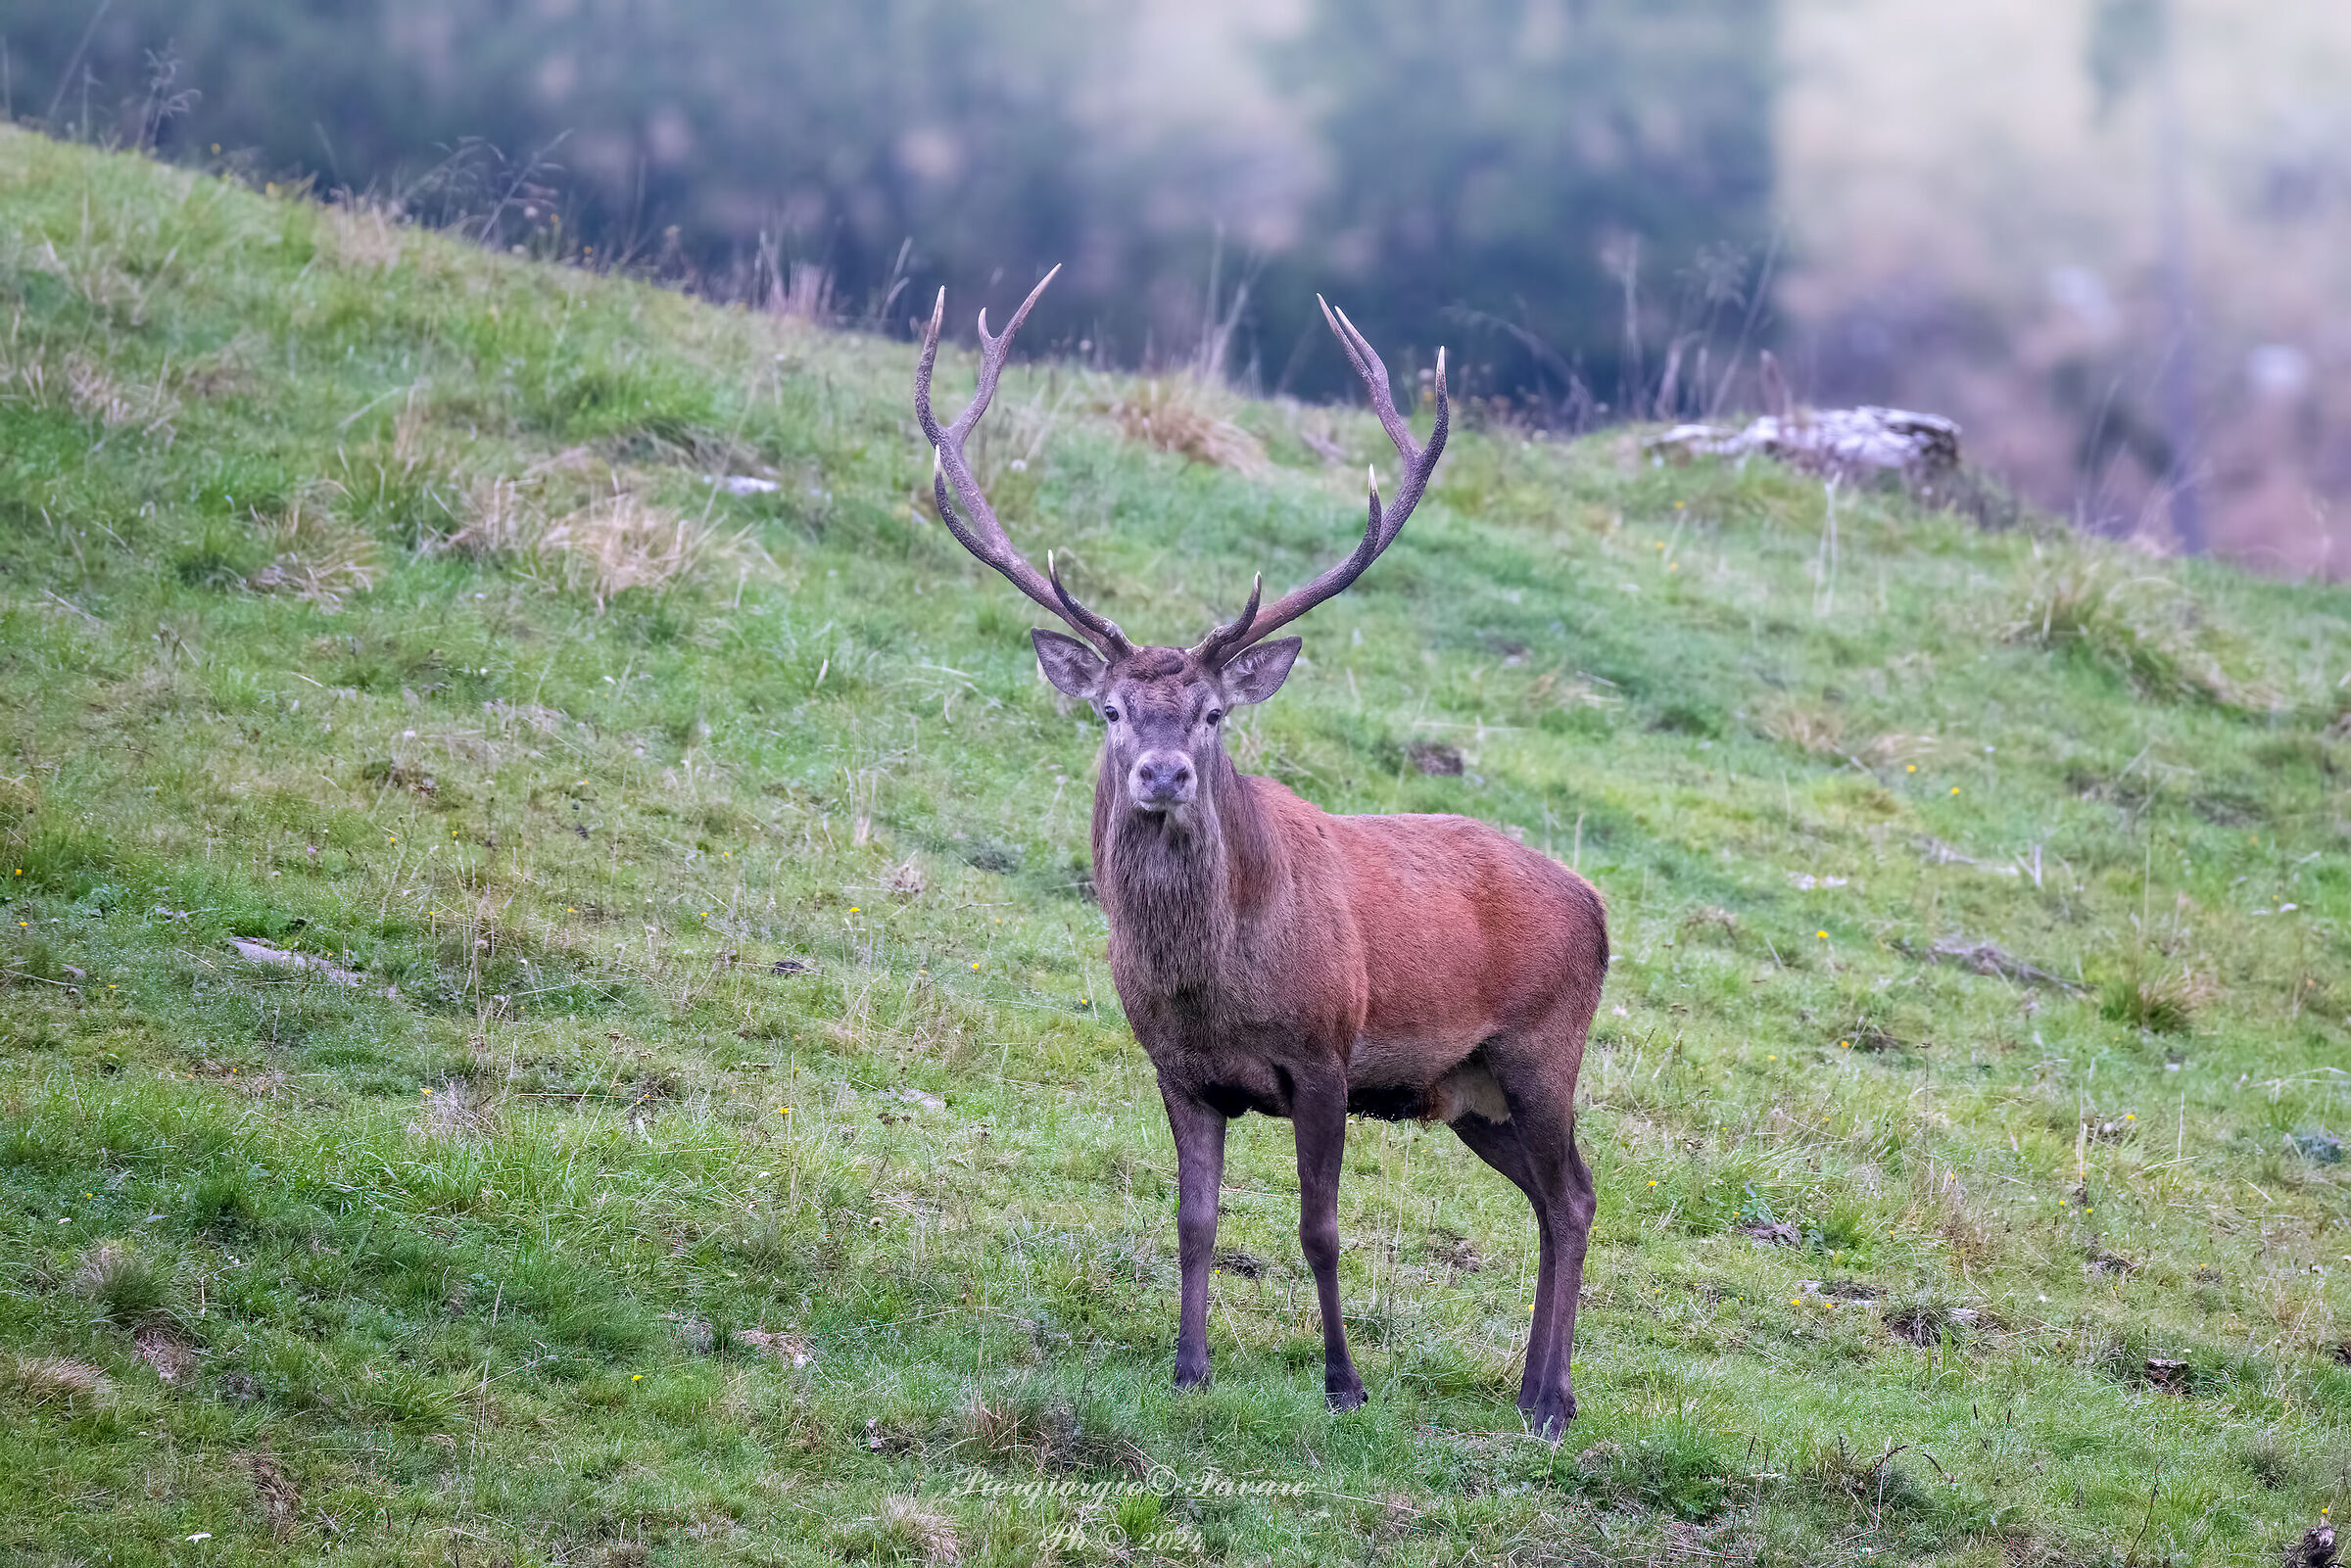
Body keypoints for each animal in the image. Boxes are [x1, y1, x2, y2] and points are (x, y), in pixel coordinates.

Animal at [913, 267, 1609, 1437]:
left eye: (1210, 713)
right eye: (1110, 709)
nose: (1162, 775)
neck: (1214, 985)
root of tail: (1601, 907)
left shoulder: (1325, 1054)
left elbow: (1318, 1227)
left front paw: (1343, 1381)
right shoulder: (1180, 1069)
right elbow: (1194, 1220)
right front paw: (1188, 1368)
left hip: (1540, 1050)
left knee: (1572, 1195)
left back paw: (1552, 1398)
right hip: (1469, 1091)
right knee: (1565, 1195)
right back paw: (1531, 1387)